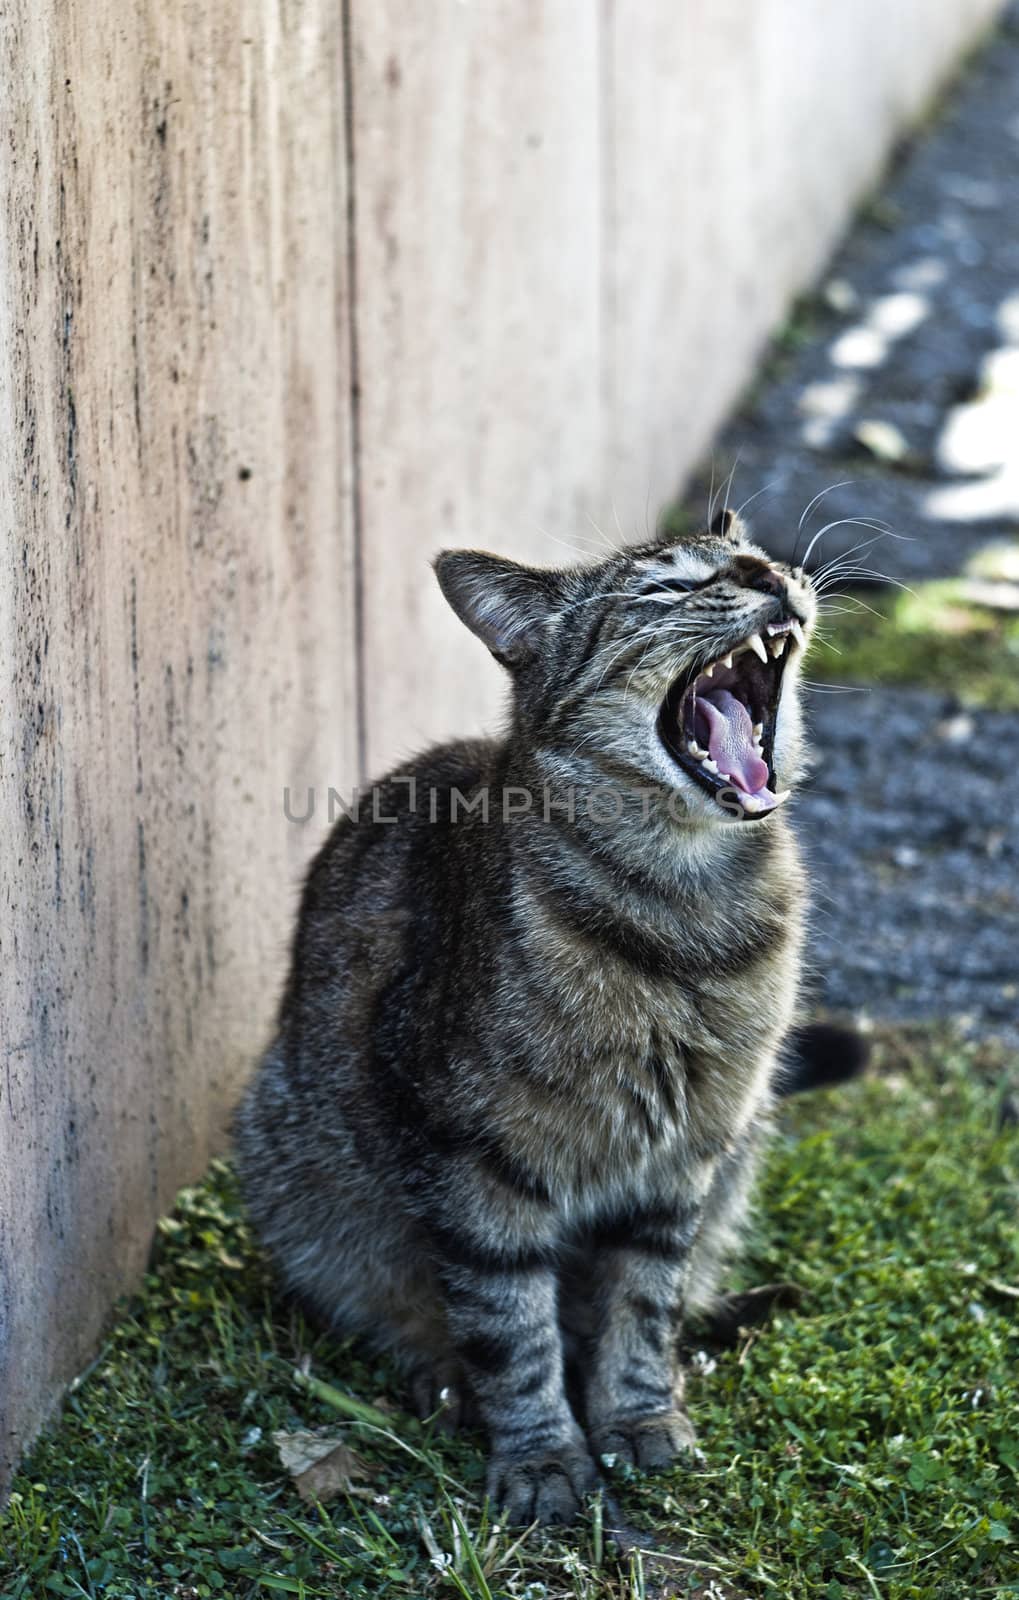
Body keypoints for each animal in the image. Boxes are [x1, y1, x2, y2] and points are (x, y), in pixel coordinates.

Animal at [239, 512, 825, 1523]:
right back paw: (442, 1386)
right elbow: (510, 1330)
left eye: (758, 560)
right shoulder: (473, 1168)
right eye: (669, 587)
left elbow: (643, 1304)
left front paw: (636, 1417)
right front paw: (545, 1457)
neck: (689, 921)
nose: (767, 573)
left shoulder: (681, 1164)